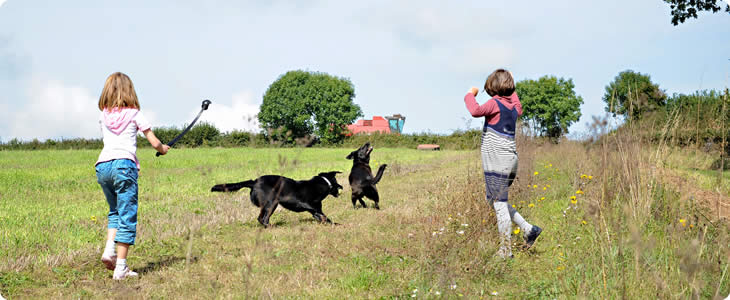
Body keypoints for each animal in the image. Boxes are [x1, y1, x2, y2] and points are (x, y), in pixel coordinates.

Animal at [210, 171, 342, 227]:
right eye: (336, 182)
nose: (342, 187)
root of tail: (254, 182)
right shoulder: (305, 203)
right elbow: (322, 214)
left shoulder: (314, 211)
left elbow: (322, 216)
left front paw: (332, 224)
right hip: (272, 203)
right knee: (263, 218)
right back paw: (271, 227)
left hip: (267, 205)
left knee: (260, 218)